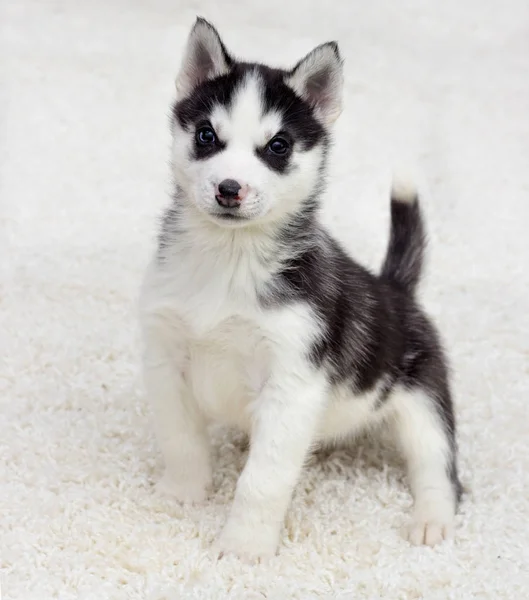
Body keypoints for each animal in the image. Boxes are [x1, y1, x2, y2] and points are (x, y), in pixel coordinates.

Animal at [138, 19, 460, 564]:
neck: (229, 259)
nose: (230, 189)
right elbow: (181, 438)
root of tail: (395, 286)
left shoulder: (292, 381)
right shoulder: (166, 359)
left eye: (278, 146)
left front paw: (244, 547)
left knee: (439, 468)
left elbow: (261, 481)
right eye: (206, 135)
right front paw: (182, 493)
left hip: (423, 406)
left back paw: (432, 519)